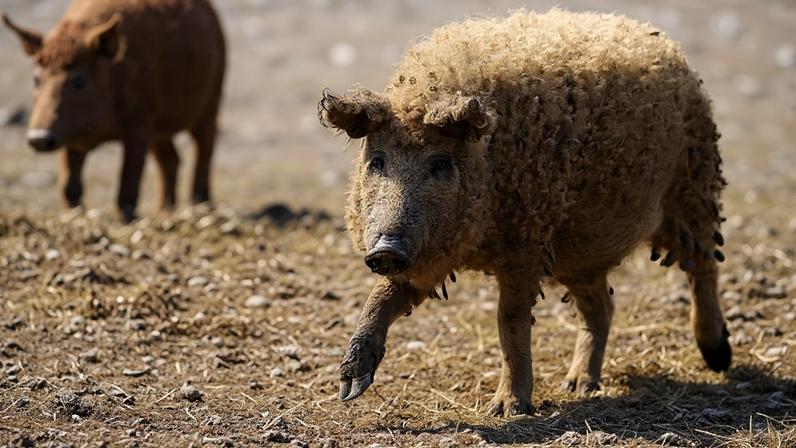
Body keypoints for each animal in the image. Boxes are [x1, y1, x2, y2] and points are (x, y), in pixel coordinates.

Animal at [3, 0, 226, 221]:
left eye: (80, 81)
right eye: (35, 79)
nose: (39, 138)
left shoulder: (139, 126)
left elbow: (129, 179)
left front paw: (128, 219)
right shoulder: (67, 134)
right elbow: (68, 185)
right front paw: (73, 214)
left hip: (211, 102)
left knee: (205, 151)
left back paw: (202, 207)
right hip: (160, 131)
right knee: (171, 160)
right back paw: (163, 212)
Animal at [319, 9, 731, 416]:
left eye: (440, 164)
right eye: (377, 161)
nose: (385, 249)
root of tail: (672, 50)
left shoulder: (527, 241)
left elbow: (511, 319)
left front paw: (506, 409)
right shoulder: (428, 254)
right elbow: (382, 296)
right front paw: (348, 389)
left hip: (694, 188)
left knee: (704, 268)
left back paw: (718, 358)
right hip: (579, 253)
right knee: (602, 306)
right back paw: (578, 385)